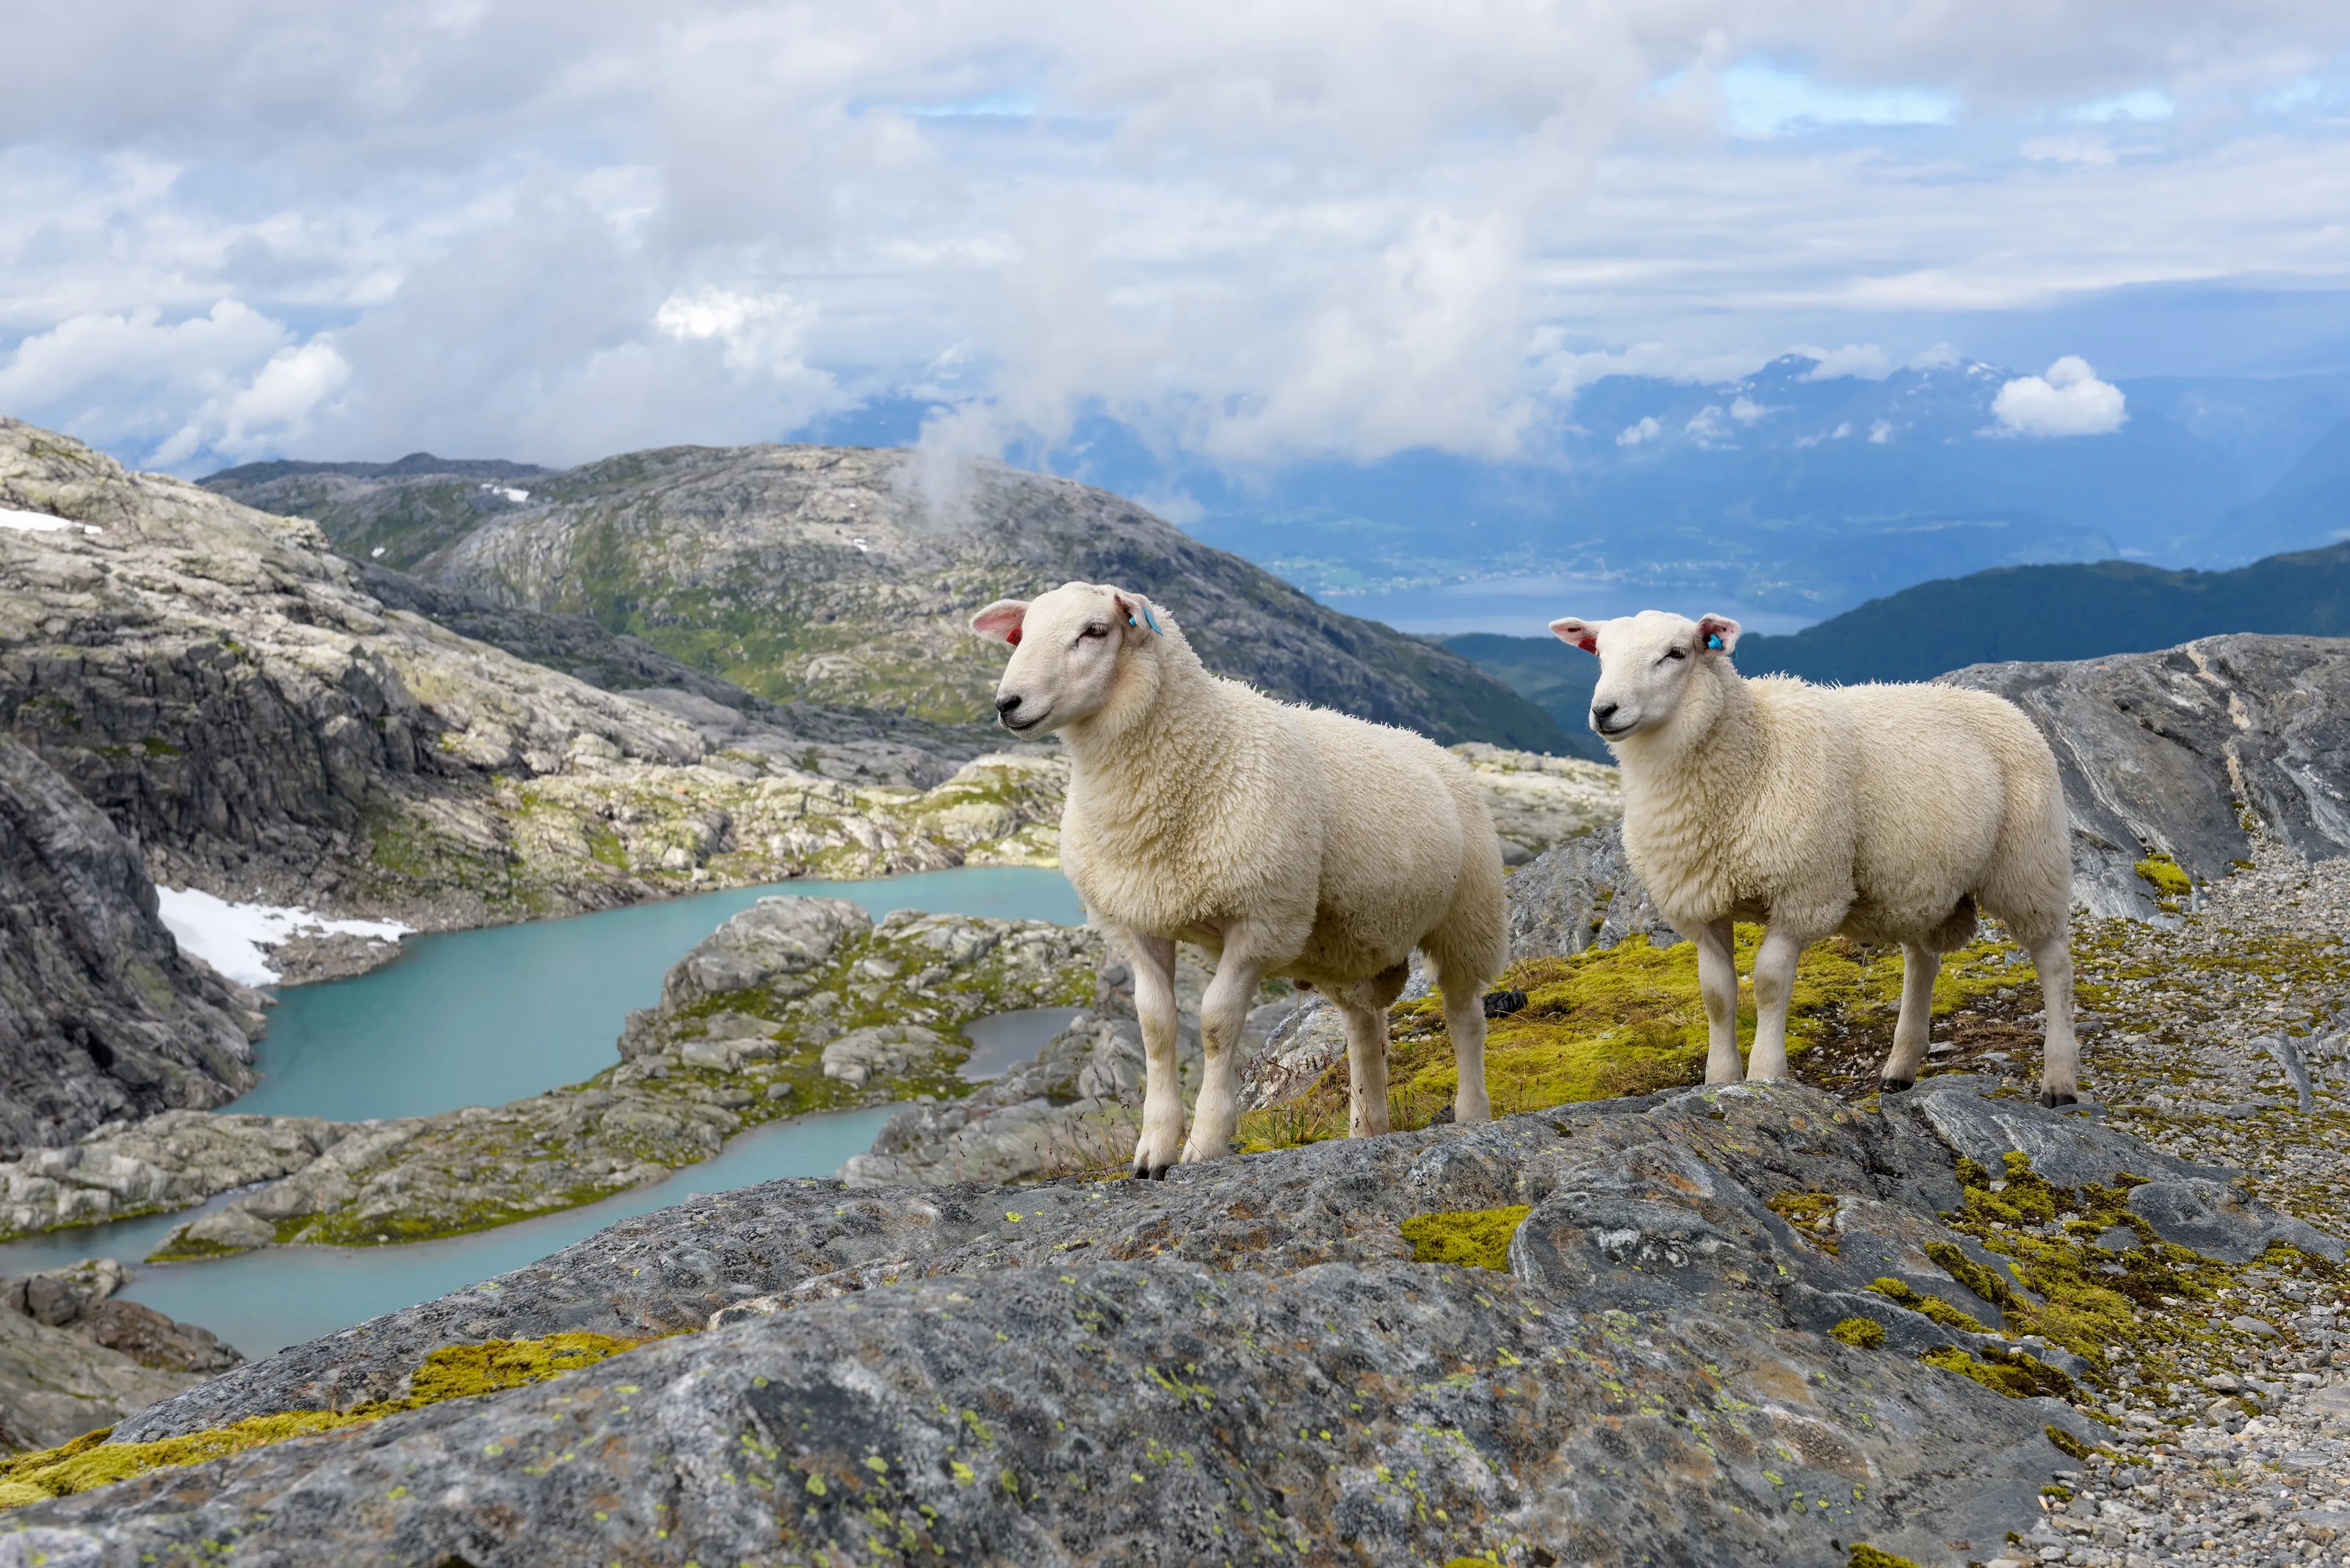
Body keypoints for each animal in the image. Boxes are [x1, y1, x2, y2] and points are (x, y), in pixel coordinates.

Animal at [970, 581, 1508, 1176]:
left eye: (1095, 631)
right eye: (1021, 633)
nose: (1007, 703)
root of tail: (1428, 744)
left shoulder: (1260, 923)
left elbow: (1215, 1023)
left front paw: (1205, 1142)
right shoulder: (1137, 922)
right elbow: (1156, 1027)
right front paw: (1153, 1150)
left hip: (1468, 918)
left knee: (1464, 1017)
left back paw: (1472, 1114)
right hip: (1345, 947)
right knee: (1364, 1030)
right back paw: (1366, 1129)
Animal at [1547, 609, 2081, 1106]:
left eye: (1676, 654)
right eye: (1600, 654)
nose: (1604, 710)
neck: (1752, 749)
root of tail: (2003, 705)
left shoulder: (1802, 891)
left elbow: (1768, 982)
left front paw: (1766, 1075)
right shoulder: (1701, 903)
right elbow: (1716, 993)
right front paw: (1719, 1080)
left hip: (2029, 864)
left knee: (2053, 961)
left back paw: (2059, 1081)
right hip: (1920, 879)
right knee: (1921, 961)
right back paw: (1899, 1069)